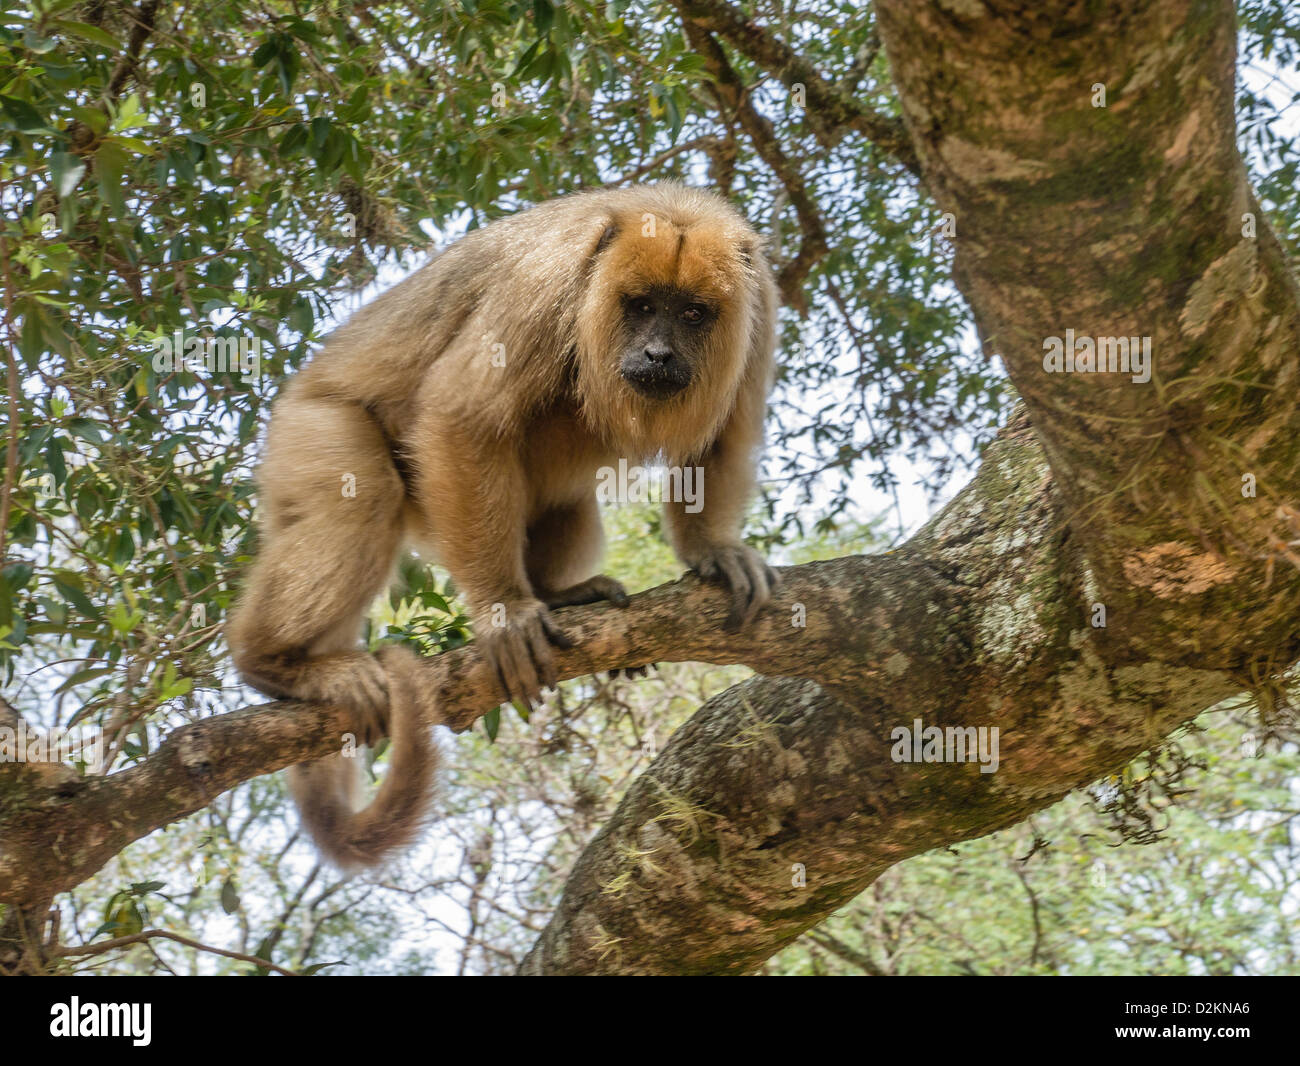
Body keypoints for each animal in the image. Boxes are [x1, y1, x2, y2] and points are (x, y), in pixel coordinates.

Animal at [226, 182, 780, 870]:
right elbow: (464, 415)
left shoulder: (761, 304)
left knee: (569, 499)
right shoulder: (542, 280)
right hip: (309, 429)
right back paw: (272, 662)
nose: (658, 353)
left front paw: (714, 551)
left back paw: (561, 596)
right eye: (642, 306)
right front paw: (504, 613)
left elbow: (727, 435)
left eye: (696, 314)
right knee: (363, 496)